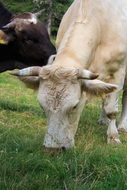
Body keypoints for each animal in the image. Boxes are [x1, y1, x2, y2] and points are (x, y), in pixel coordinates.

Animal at [11, 0, 127, 148]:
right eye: (42, 106)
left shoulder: (119, 72)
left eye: (74, 106)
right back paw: (103, 120)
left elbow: (112, 109)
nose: (52, 149)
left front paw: (113, 137)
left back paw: (122, 126)